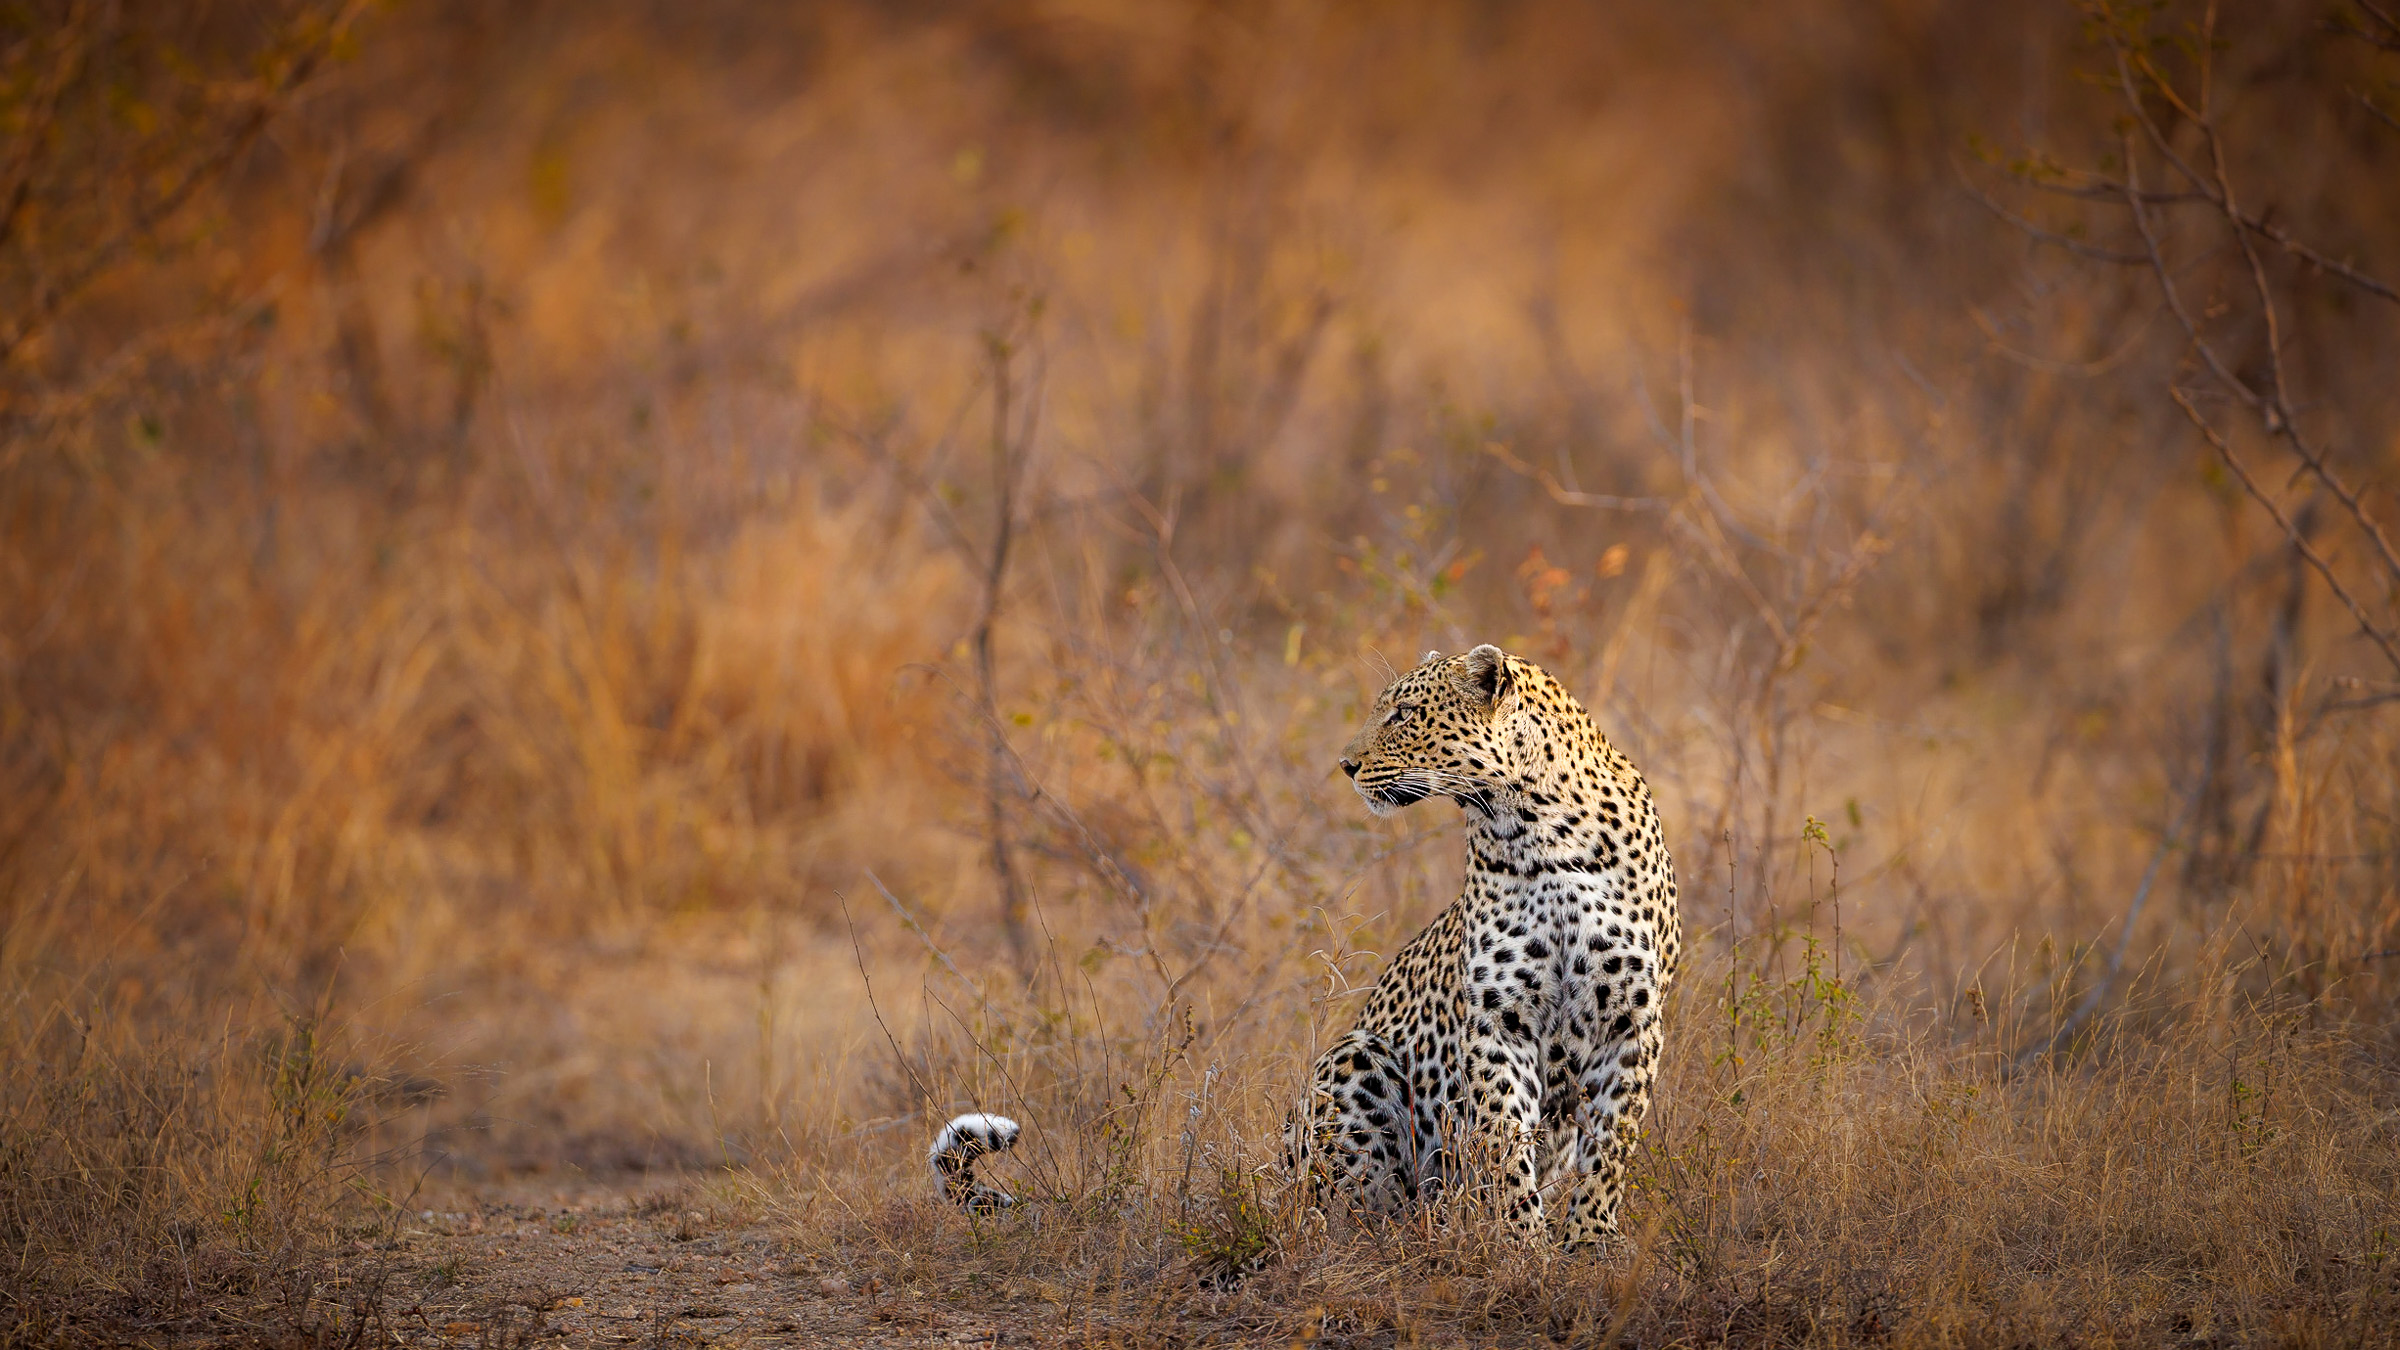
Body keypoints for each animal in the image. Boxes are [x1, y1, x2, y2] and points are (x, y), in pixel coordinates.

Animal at [1289, 643, 1681, 1249]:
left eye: (1403, 714)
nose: (1345, 765)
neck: (1541, 831)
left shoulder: (1632, 1020)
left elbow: (1611, 1143)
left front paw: (1589, 1239)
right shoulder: (1499, 1017)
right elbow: (1503, 1135)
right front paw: (1523, 1241)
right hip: (1355, 1056)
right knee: (1347, 1204)